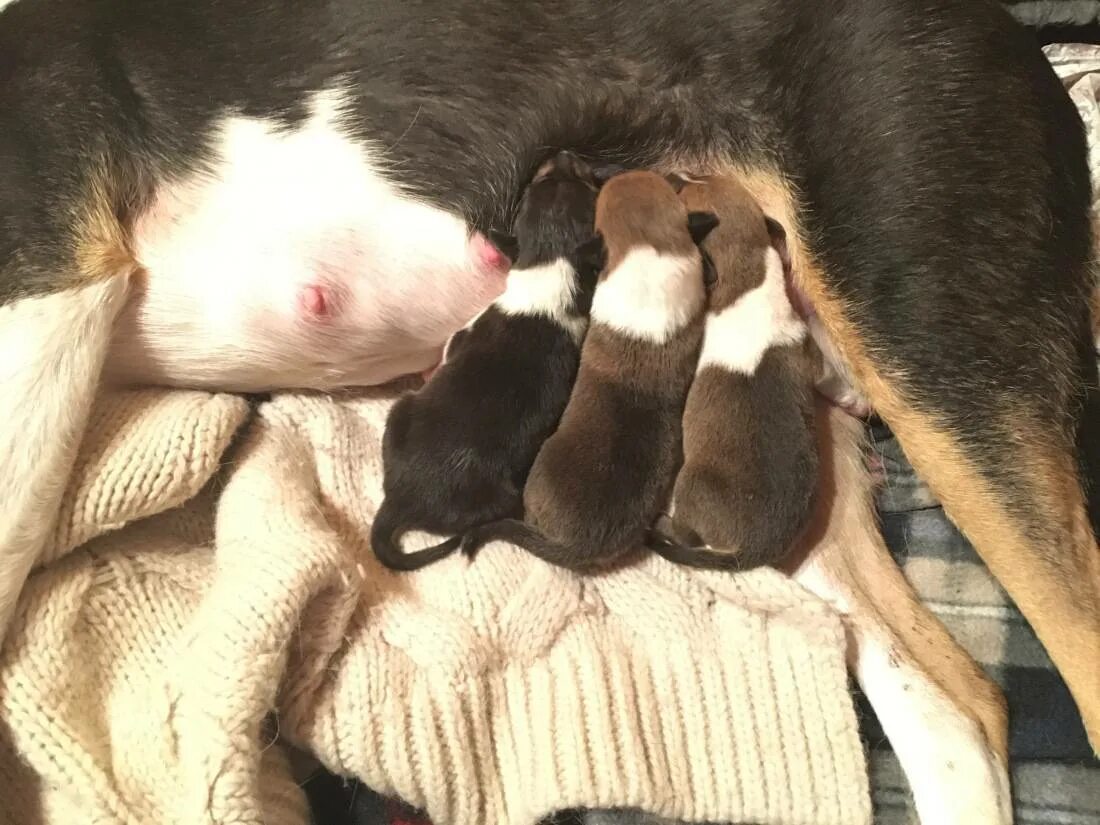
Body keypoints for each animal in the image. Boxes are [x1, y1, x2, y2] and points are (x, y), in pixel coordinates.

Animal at [374, 151, 607, 572]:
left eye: (584, 182)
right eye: (542, 182)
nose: (562, 153)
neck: (553, 263)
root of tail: (401, 500)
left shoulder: (463, 333)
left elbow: (452, 345)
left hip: (404, 411)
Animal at [646, 177, 822, 572]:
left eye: (684, 196)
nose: (677, 176)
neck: (749, 270)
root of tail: (752, 551)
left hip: (690, 483)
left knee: (687, 534)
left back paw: (663, 523)